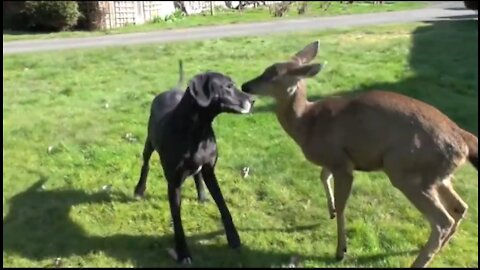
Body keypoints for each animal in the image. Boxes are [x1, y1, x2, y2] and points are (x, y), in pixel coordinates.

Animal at [133, 59, 253, 264]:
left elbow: (223, 205)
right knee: (145, 165)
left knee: (197, 176)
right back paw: (140, 189)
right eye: (228, 86)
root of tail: (172, 89)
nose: (253, 100)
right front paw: (183, 253)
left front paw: (233, 237)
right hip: (149, 144)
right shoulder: (173, 183)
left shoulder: (210, 170)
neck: (198, 130)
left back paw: (202, 195)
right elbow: (177, 221)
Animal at [242, 41, 478, 266]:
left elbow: (342, 202)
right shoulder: (337, 158)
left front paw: (341, 250)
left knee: (442, 220)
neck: (308, 123)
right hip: (436, 174)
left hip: (406, 169)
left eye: (272, 75)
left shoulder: (340, 161)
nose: (245, 85)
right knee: (460, 207)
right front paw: (330, 210)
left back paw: (418, 262)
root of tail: (464, 139)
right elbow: (323, 176)